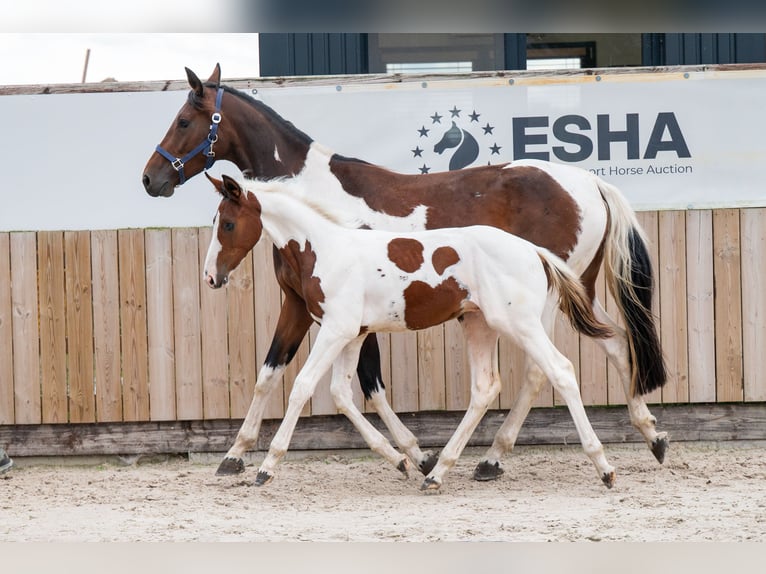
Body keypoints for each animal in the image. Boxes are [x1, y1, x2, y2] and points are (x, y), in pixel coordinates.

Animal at [203, 172, 617, 491]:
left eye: (228, 224)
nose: (210, 277)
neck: (325, 249)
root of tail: (535, 252)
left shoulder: (336, 330)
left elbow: (303, 387)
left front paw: (266, 467)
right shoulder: (353, 334)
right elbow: (341, 394)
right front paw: (403, 459)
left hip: (520, 324)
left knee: (560, 371)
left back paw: (604, 467)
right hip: (479, 324)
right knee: (485, 387)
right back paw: (438, 473)